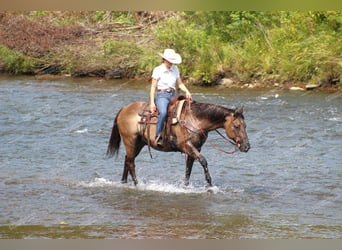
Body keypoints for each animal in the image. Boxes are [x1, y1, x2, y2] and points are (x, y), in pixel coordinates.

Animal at [107, 96, 251, 187]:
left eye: (245, 125)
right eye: (237, 126)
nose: (246, 146)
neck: (195, 120)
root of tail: (124, 109)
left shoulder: (195, 149)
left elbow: (188, 169)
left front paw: (185, 186)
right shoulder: (187, 145)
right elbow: (203, 161)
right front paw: (210, 184)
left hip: (138, 144)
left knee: (127, 160)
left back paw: (124, 182)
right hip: (130, 141)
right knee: (131, 163)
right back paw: (137, 184)